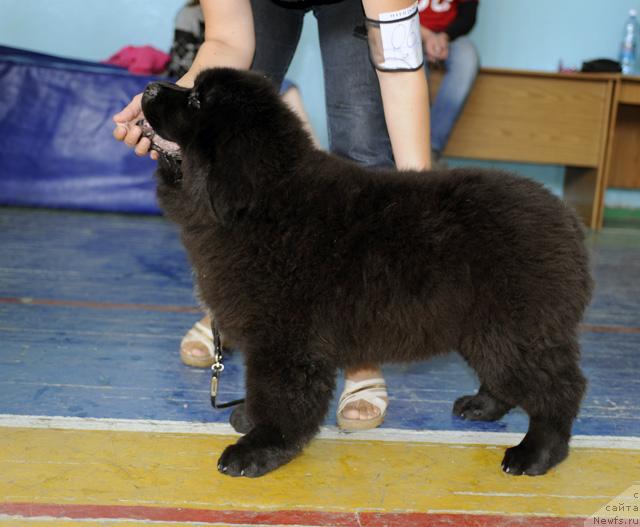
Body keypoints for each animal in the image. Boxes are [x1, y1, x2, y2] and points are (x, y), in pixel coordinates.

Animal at [142, 66, 592, 478]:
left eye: (196, 100)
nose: (148, 88)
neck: (259, 203)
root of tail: (567, 219)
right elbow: (260, 389)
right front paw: (248, 420)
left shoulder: (285, 340)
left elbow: (279, 396)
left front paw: (258, 449)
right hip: (486, 329)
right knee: (506, 376)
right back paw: (481, 406)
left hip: (517, 327)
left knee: (558, 389)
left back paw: (536, 453)